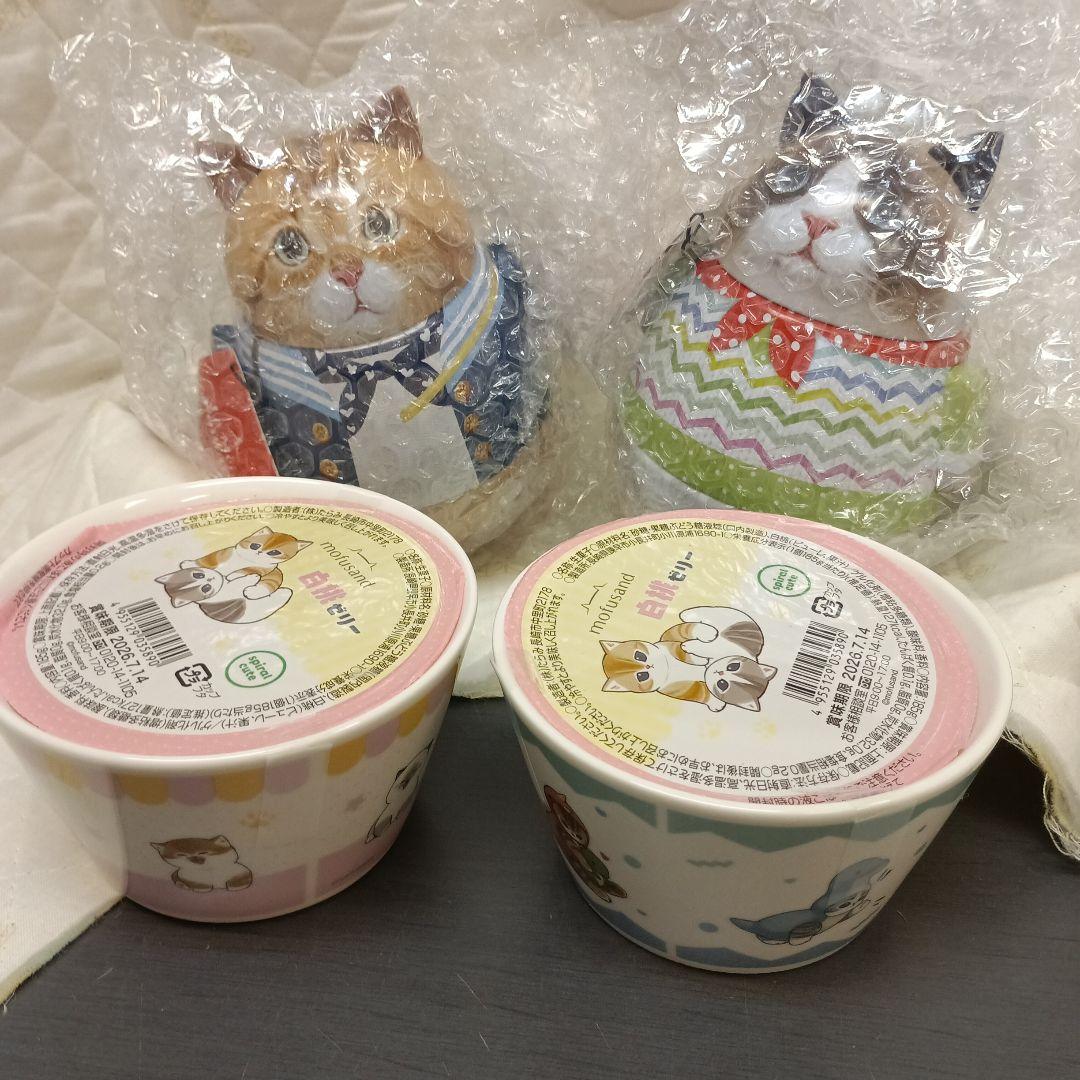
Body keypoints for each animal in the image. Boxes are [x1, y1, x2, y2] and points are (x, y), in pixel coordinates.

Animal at [155, 565, 293, 624]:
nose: (210, 579)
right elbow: (239, 582)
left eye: (198, 575)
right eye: (206, 588)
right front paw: (252, 577)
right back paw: (284, 592)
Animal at [731, 857, 890, 946]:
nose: (857, 899)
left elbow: (851, 914)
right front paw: (799, 940)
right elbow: (810, 927)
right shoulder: (811, 922)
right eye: (843, 903)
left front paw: (863, 904)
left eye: (858, 896)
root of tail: (757, 923)